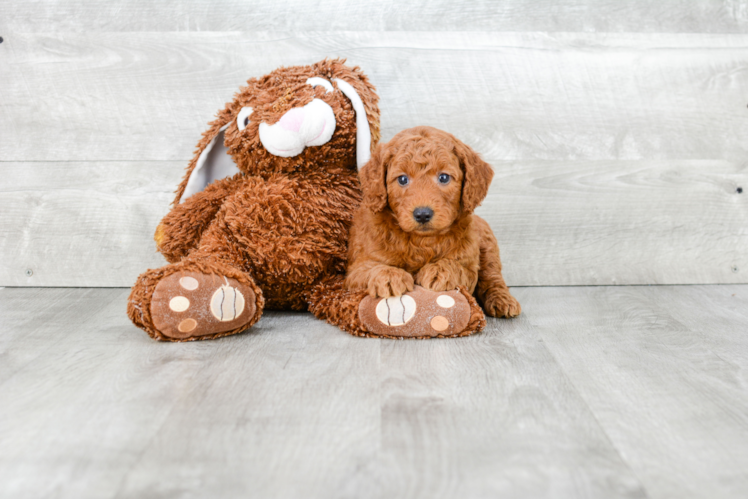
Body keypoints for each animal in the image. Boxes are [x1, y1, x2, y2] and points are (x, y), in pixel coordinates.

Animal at [344, 125, 520, 320]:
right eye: (402, 179)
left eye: (443, 178)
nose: (422, 214)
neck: (422, 241)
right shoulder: (355, 270)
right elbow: (369, 269)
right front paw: (389, 276)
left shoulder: (469, 266)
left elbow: (458, 267)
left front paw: (439, 271)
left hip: (488, 244)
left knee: (492, 276)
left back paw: (503, 300)